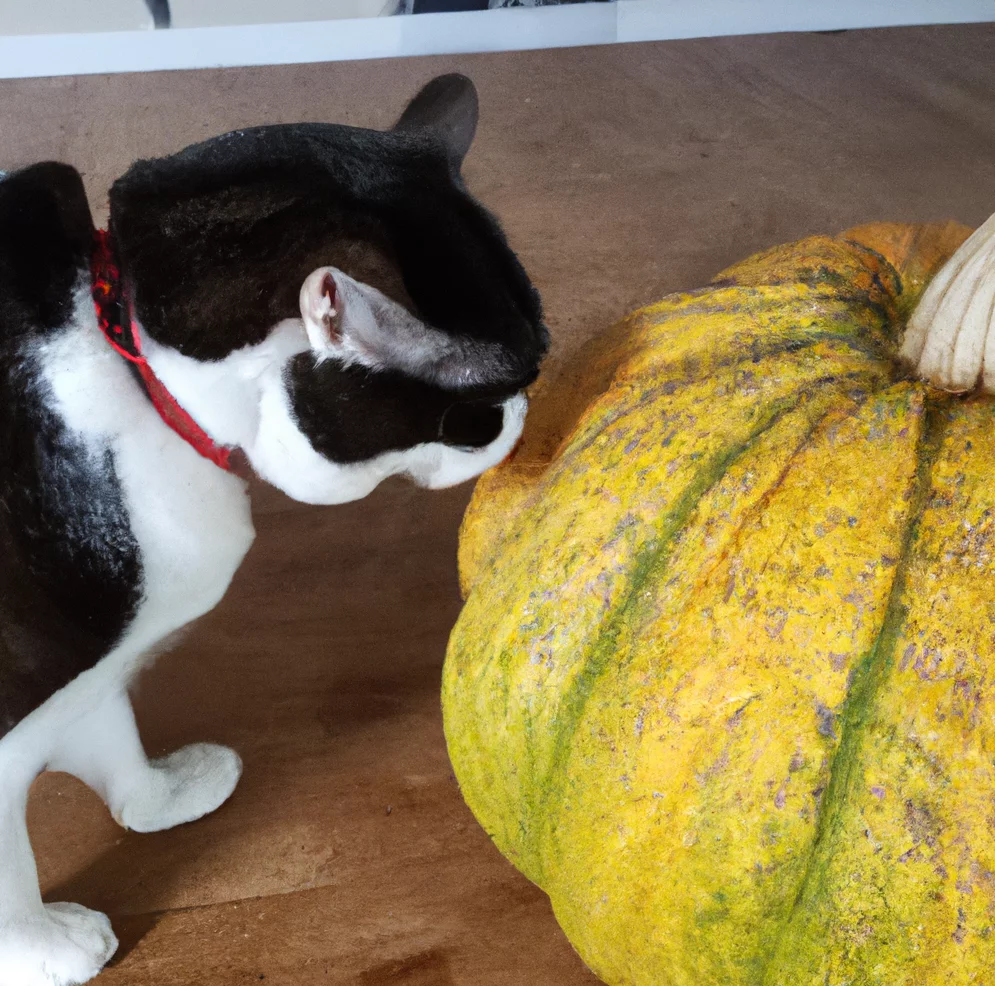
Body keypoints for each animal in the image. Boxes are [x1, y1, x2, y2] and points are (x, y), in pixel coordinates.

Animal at [0, 71, 548, 984]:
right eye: (477, 415)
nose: (525, 415)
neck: (130, 347)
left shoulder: (97, 660)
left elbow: (109, 729)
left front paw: (162, 799)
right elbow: (11, 867)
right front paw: (45, 951)